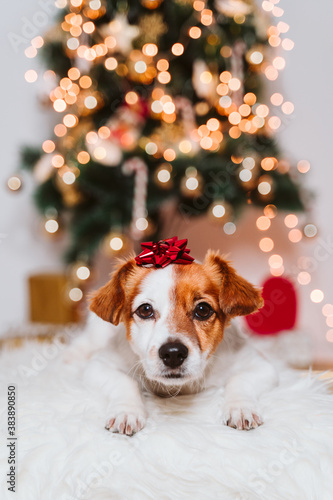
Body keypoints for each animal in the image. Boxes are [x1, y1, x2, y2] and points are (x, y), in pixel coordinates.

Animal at [67, 237, 278, 434]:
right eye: (145, 310)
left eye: (203, 309)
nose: (173, 353)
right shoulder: (99, 366)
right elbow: (125, 381)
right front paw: (126, 411)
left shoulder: (261, 366)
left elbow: (239, 380)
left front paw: (241, 408)